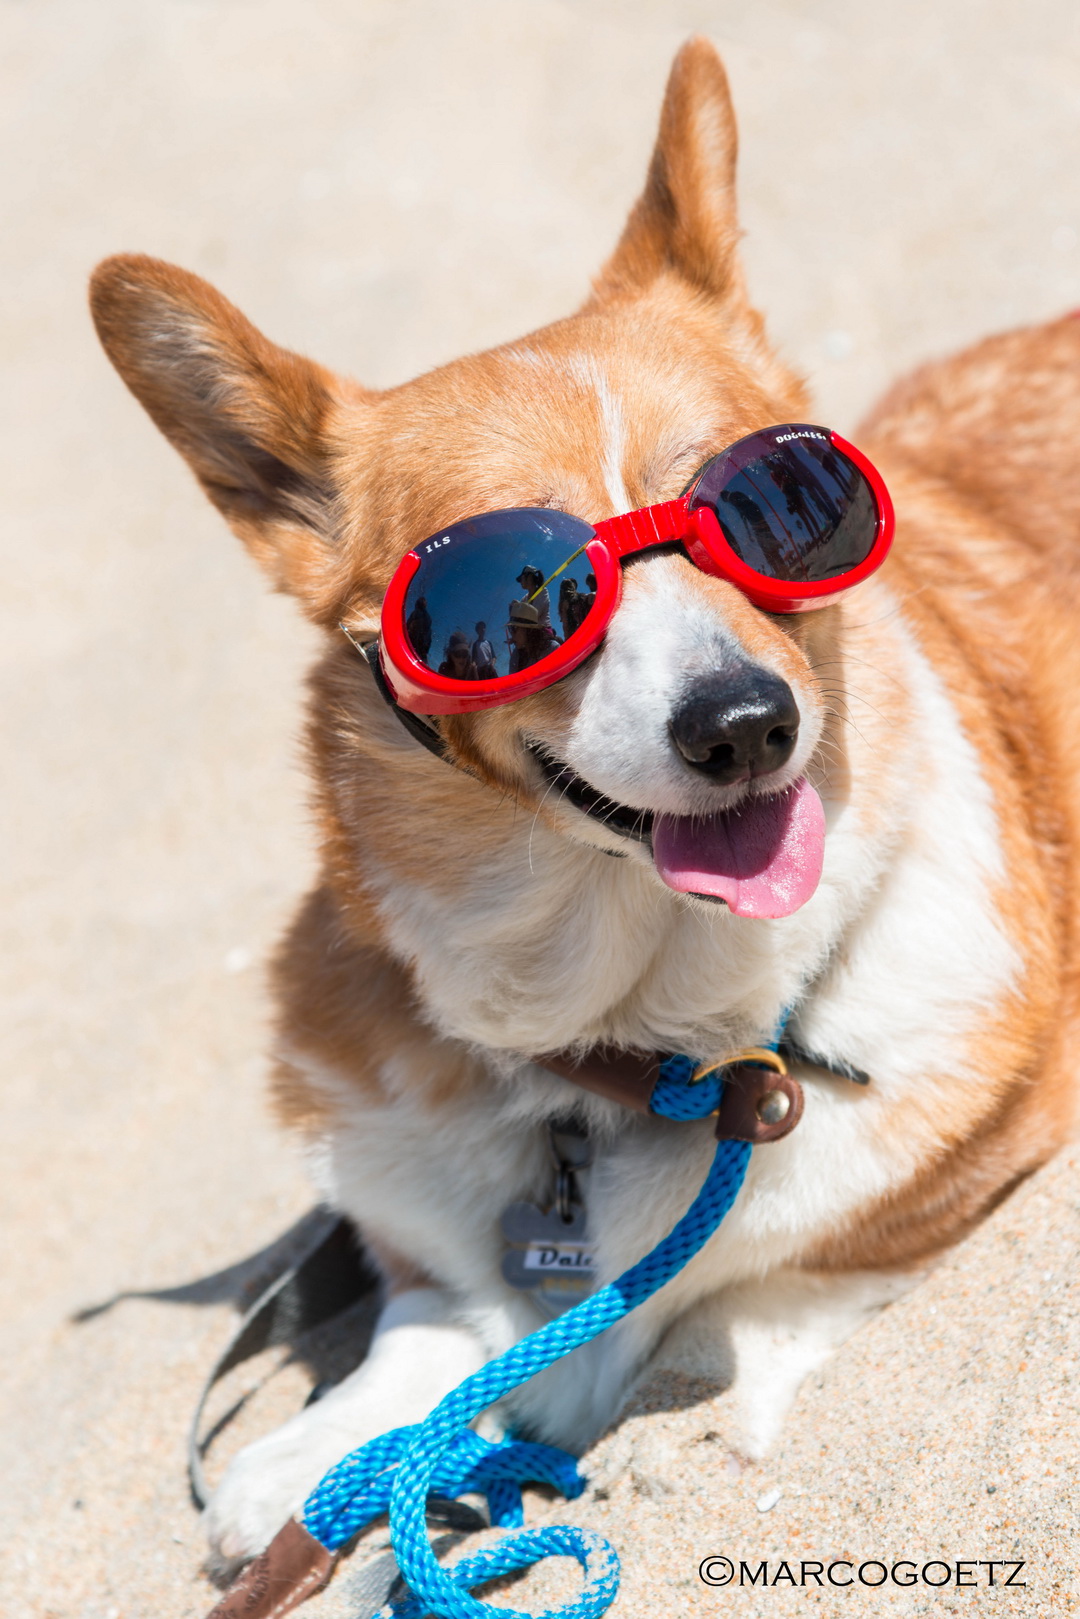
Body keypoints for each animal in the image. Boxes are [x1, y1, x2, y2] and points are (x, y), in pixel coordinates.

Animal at [90, 38, 1080, 1573]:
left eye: (780, 504)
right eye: (513, 597)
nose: (745, 723)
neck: (638, 1037)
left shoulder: (979, 1141)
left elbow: (746, 1296)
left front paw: (635, 1399)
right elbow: (430, 1320)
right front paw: (320, 1456)